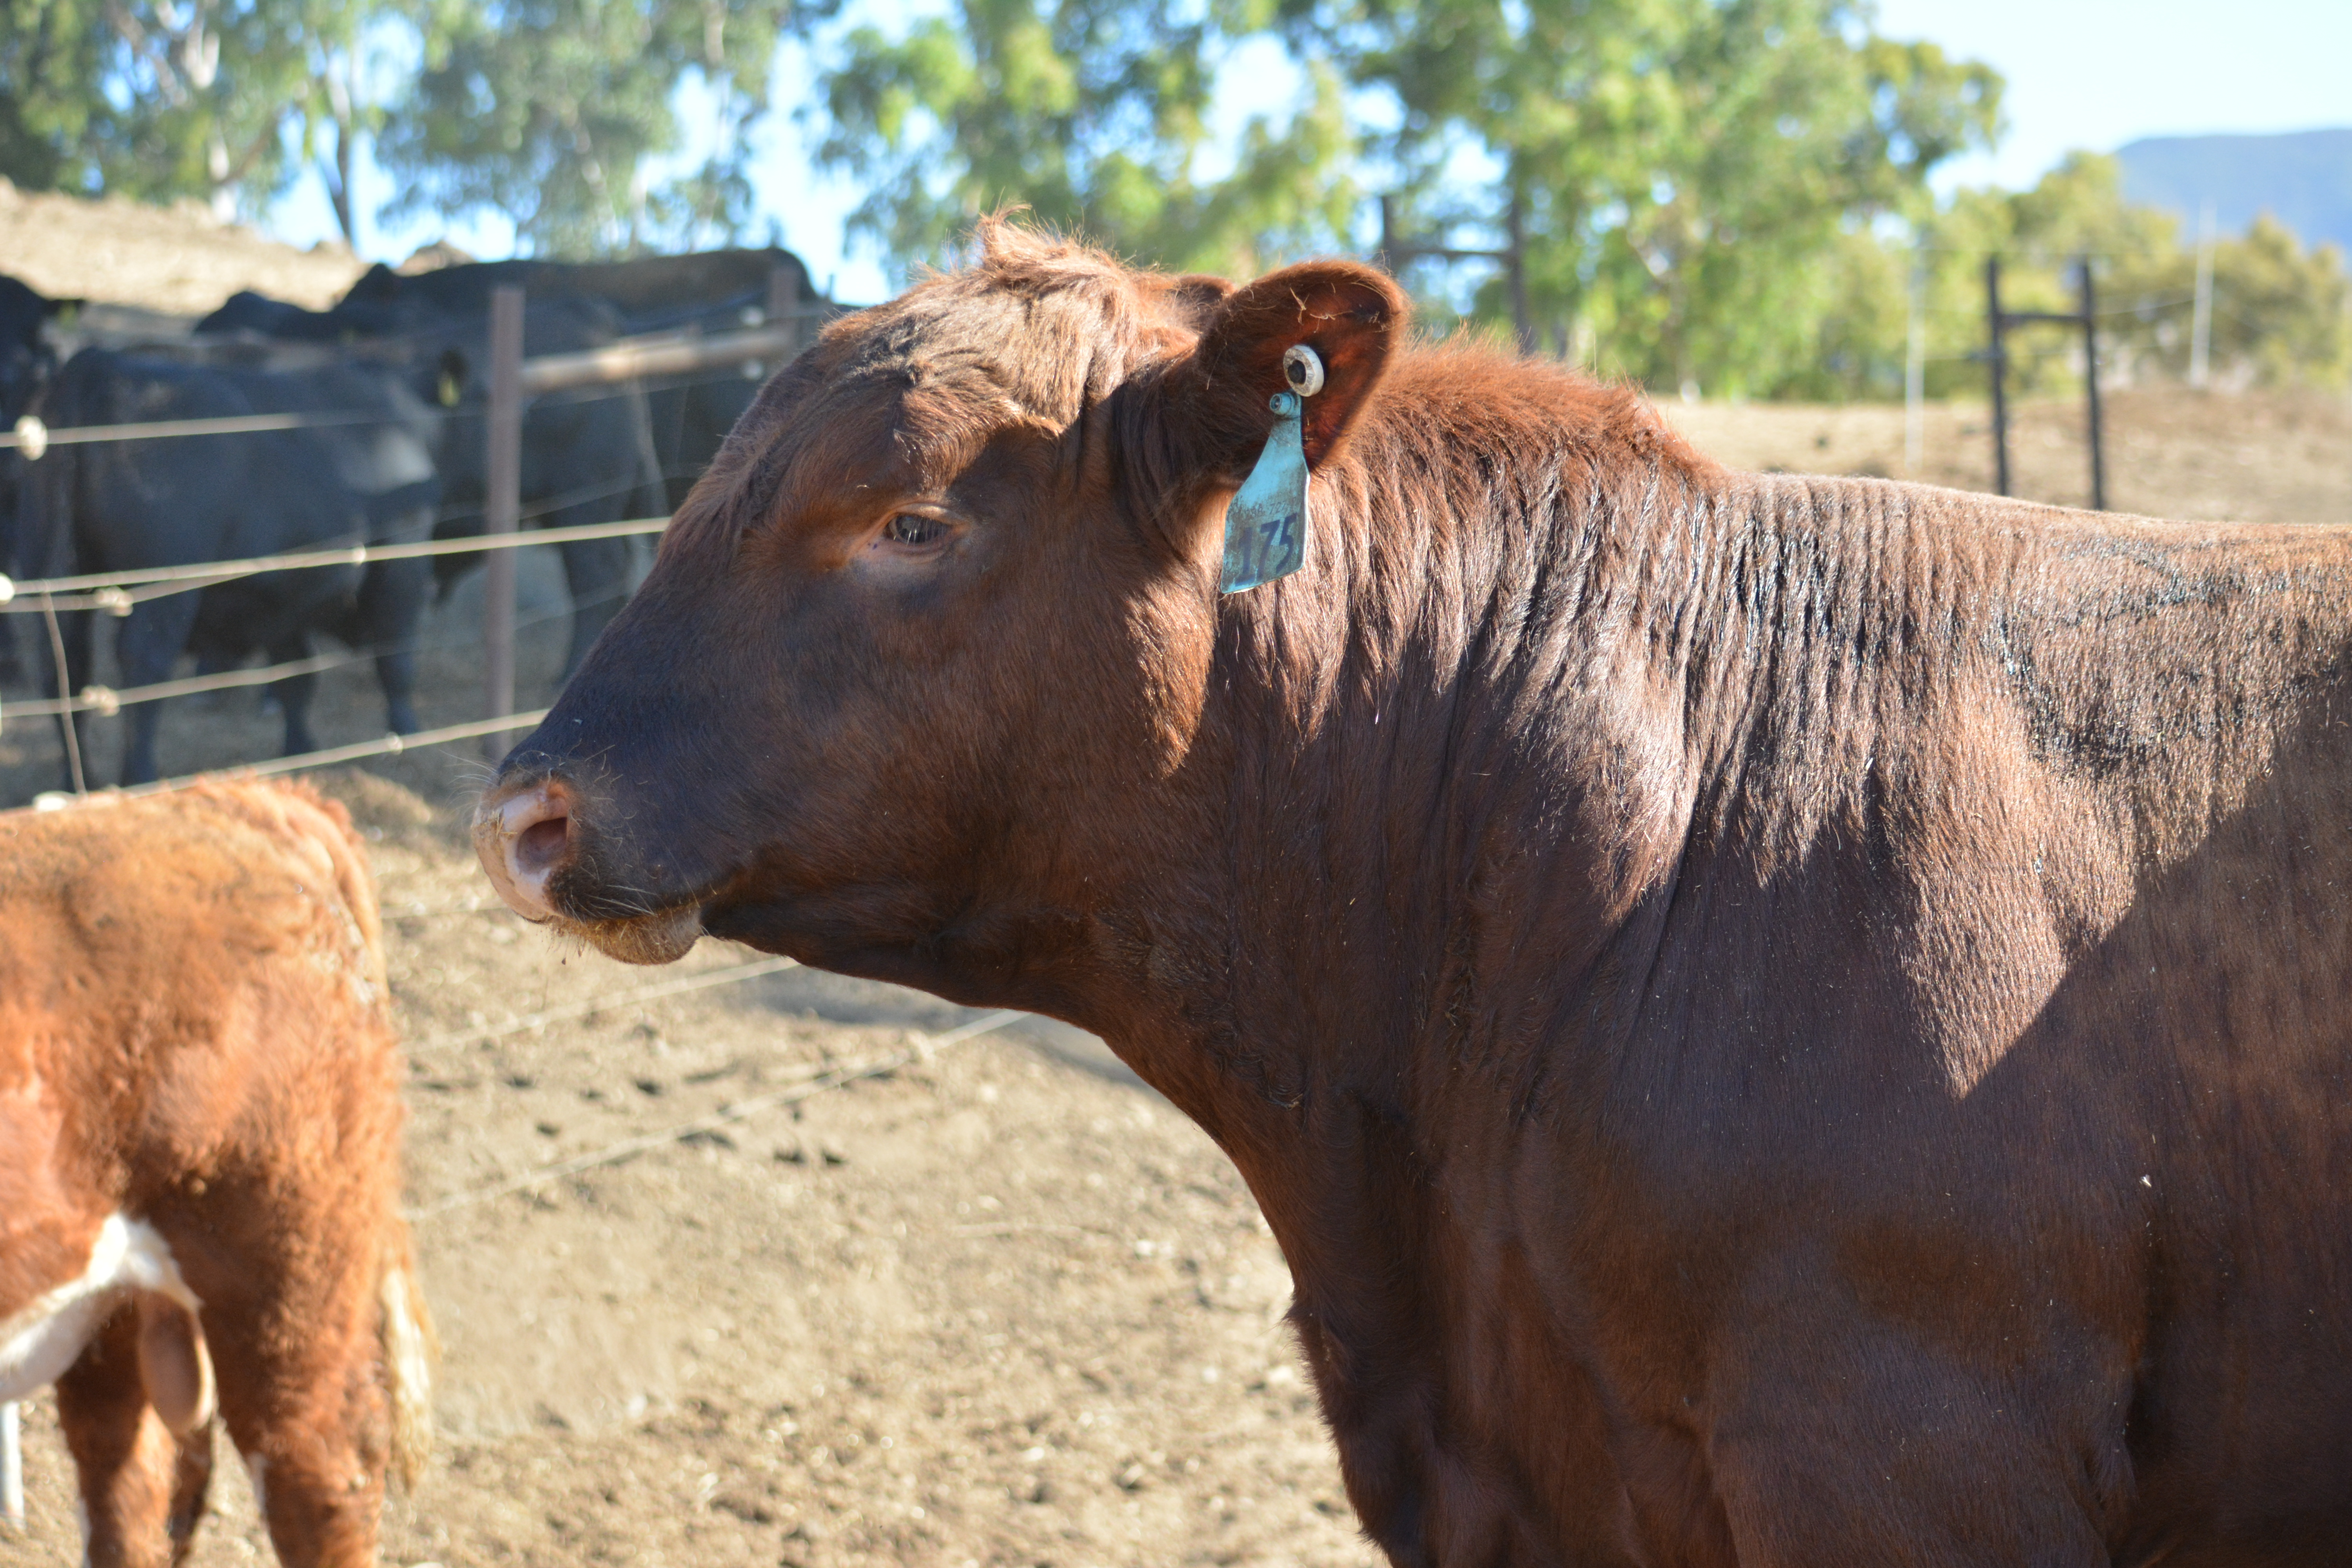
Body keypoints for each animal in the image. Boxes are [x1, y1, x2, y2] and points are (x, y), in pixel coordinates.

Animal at [18, 343, 441, 786]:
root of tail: (105, 361)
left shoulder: (284, 599)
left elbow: (296, 675)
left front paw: (300, 749)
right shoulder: (403, 558)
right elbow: (395, 657)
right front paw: (406, 734)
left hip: (52, 571)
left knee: (63, 665)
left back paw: (78, 780)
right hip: (165, 588)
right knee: (143, 664)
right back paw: (140, 776)